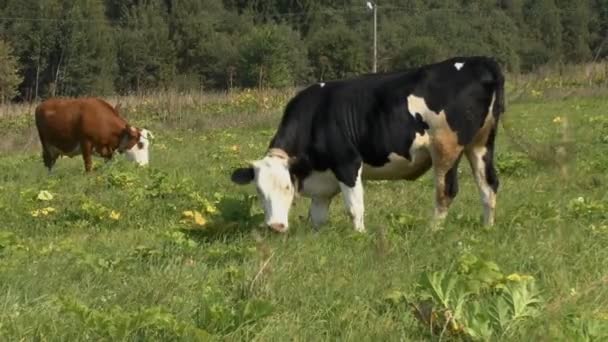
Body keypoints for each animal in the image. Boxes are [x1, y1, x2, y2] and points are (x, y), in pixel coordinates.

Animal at [230, 56, 506, 232]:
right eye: (259, 191)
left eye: (287, 187)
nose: (275, 227)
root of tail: (479, 61)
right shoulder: (322, 182)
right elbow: (317, 217)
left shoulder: (348, 164)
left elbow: (355, 207)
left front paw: (359, 236)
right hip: (481, 143)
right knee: (488, 184)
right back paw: (487, 227)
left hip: (446, 148)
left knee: (446, 190)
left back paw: (432, 230)